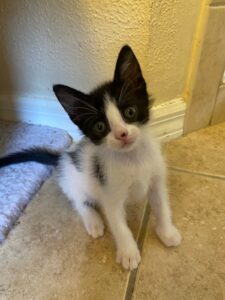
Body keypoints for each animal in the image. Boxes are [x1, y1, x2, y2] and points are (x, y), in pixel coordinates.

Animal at [0, 45, 181, 270]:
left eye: (130, 111)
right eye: (100, 126)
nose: (122, 134)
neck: (132, 158)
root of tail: (64, 157)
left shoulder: (156, 178)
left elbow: (162, 206)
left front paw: (167, 232)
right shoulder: (110, 194)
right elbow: (119, 225)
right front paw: (129, 253)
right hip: (72, 181)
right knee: (78, 200)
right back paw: (93, 220)